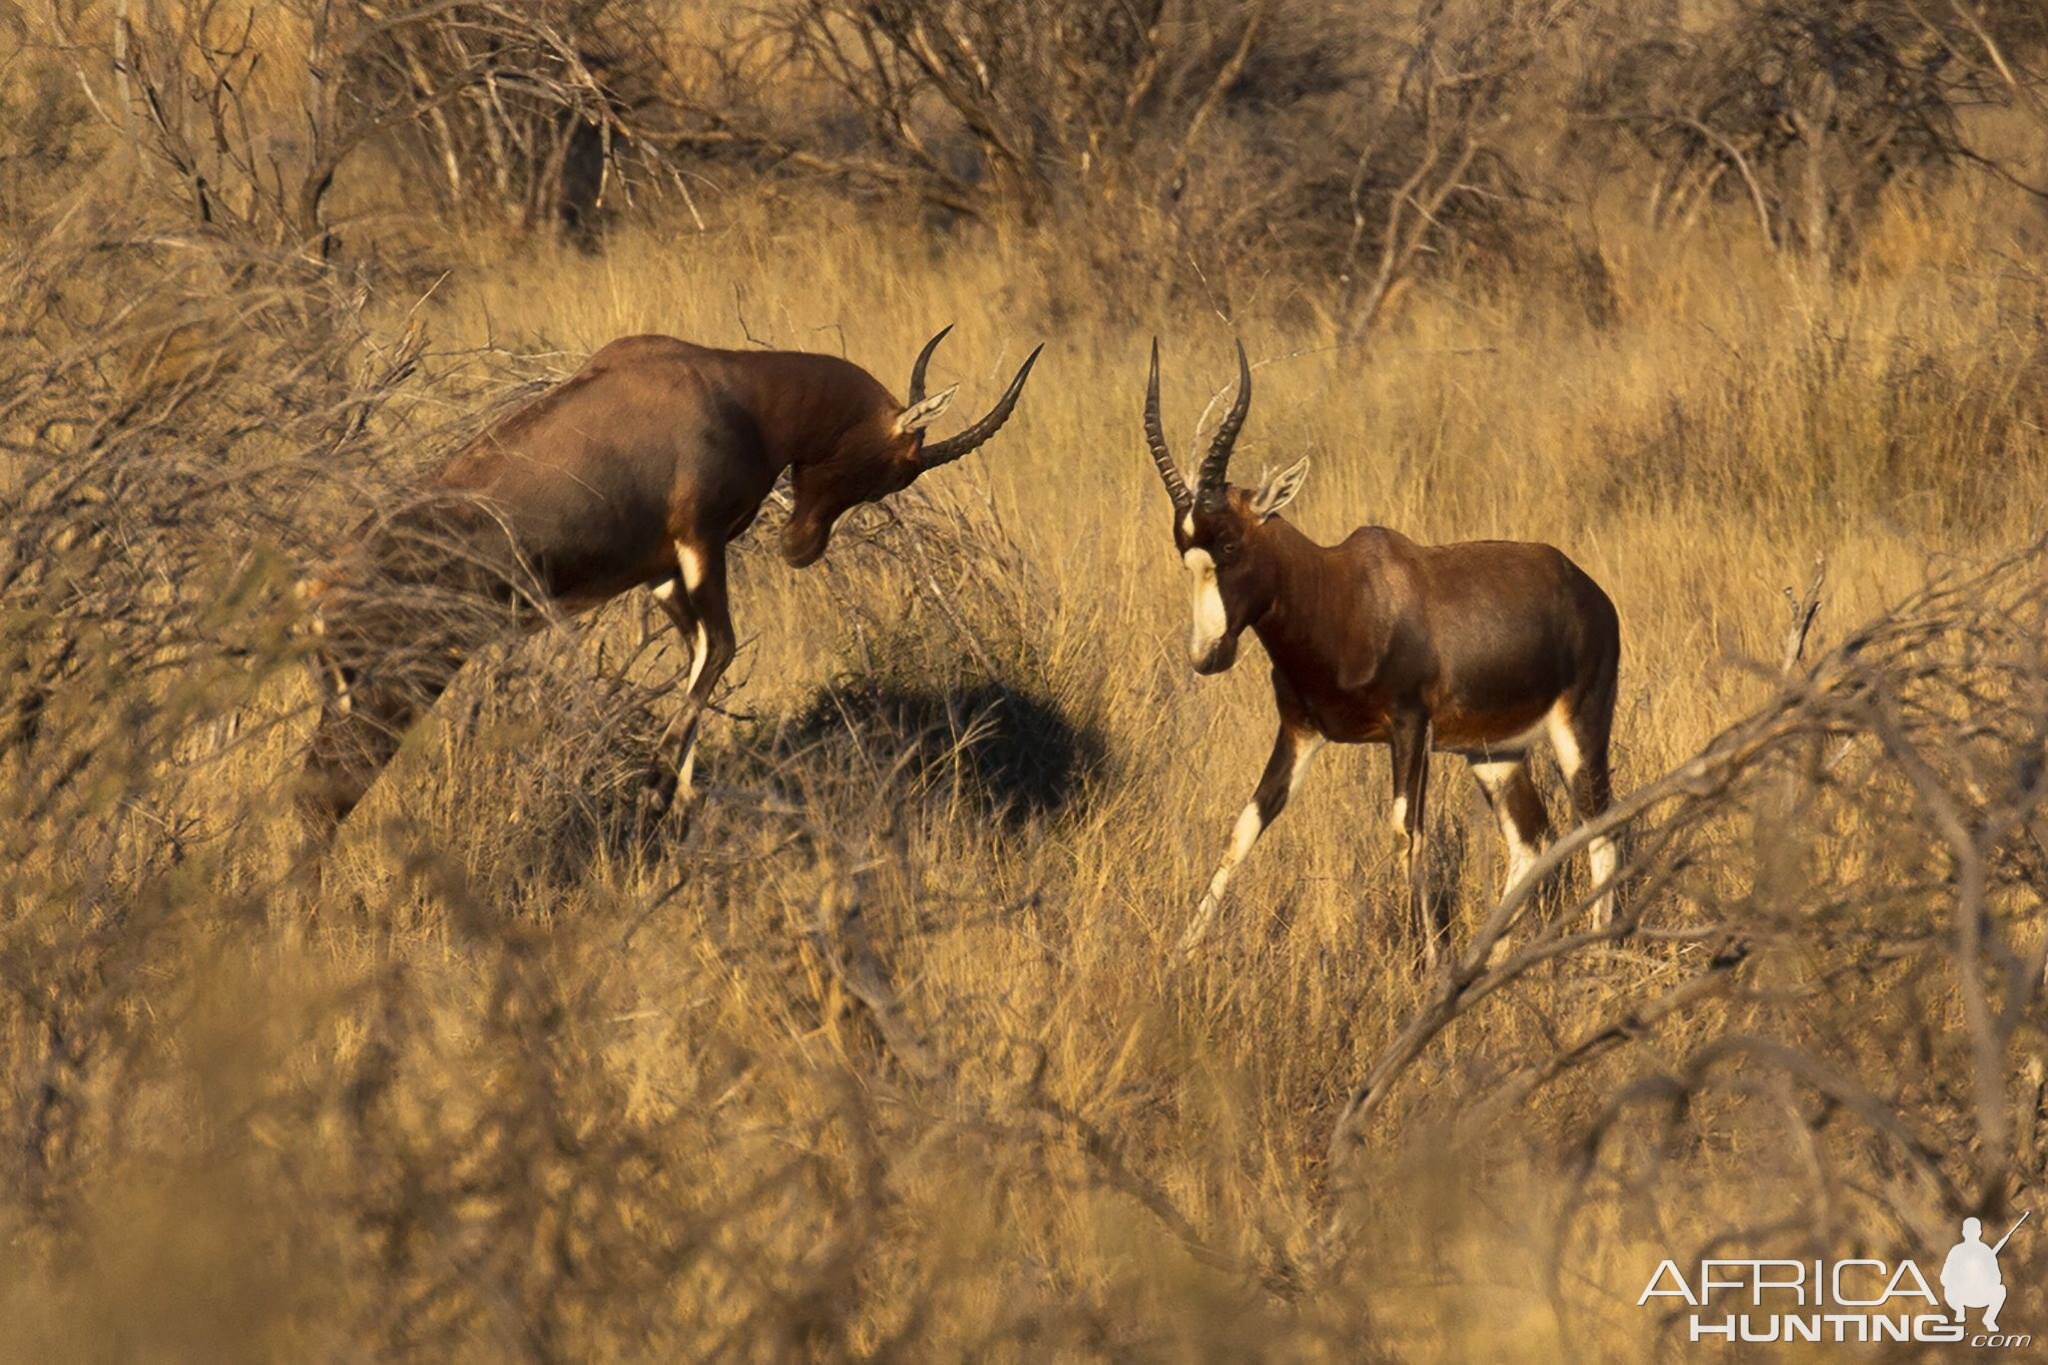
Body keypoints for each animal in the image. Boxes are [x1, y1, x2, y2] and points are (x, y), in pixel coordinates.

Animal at [292, 331, 1040, 843]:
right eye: (900, 468)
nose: (799, 548)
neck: (728, 387)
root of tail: (321, 587)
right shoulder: (700, 545)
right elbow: (723, 649)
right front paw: (654, 791)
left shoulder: (661, 573)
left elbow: (699, 657)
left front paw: (677, 796)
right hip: (399, 687)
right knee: (322, 799)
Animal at [1146, 339, 1622, 961]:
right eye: (1183, 549)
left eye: (1229, 543)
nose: (1208, 656)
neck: (1346, 594)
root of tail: (1592, 594)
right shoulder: (1300, 732)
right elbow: (1246, 825)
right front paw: (1179, 953)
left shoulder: (1410, 727)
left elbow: (1405, 834)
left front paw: (1426, 960)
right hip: (1495, 753)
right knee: (1532, 839)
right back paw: (1490, 960)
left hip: (1579, 730)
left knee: (1601, 828)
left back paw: (1597, 958)